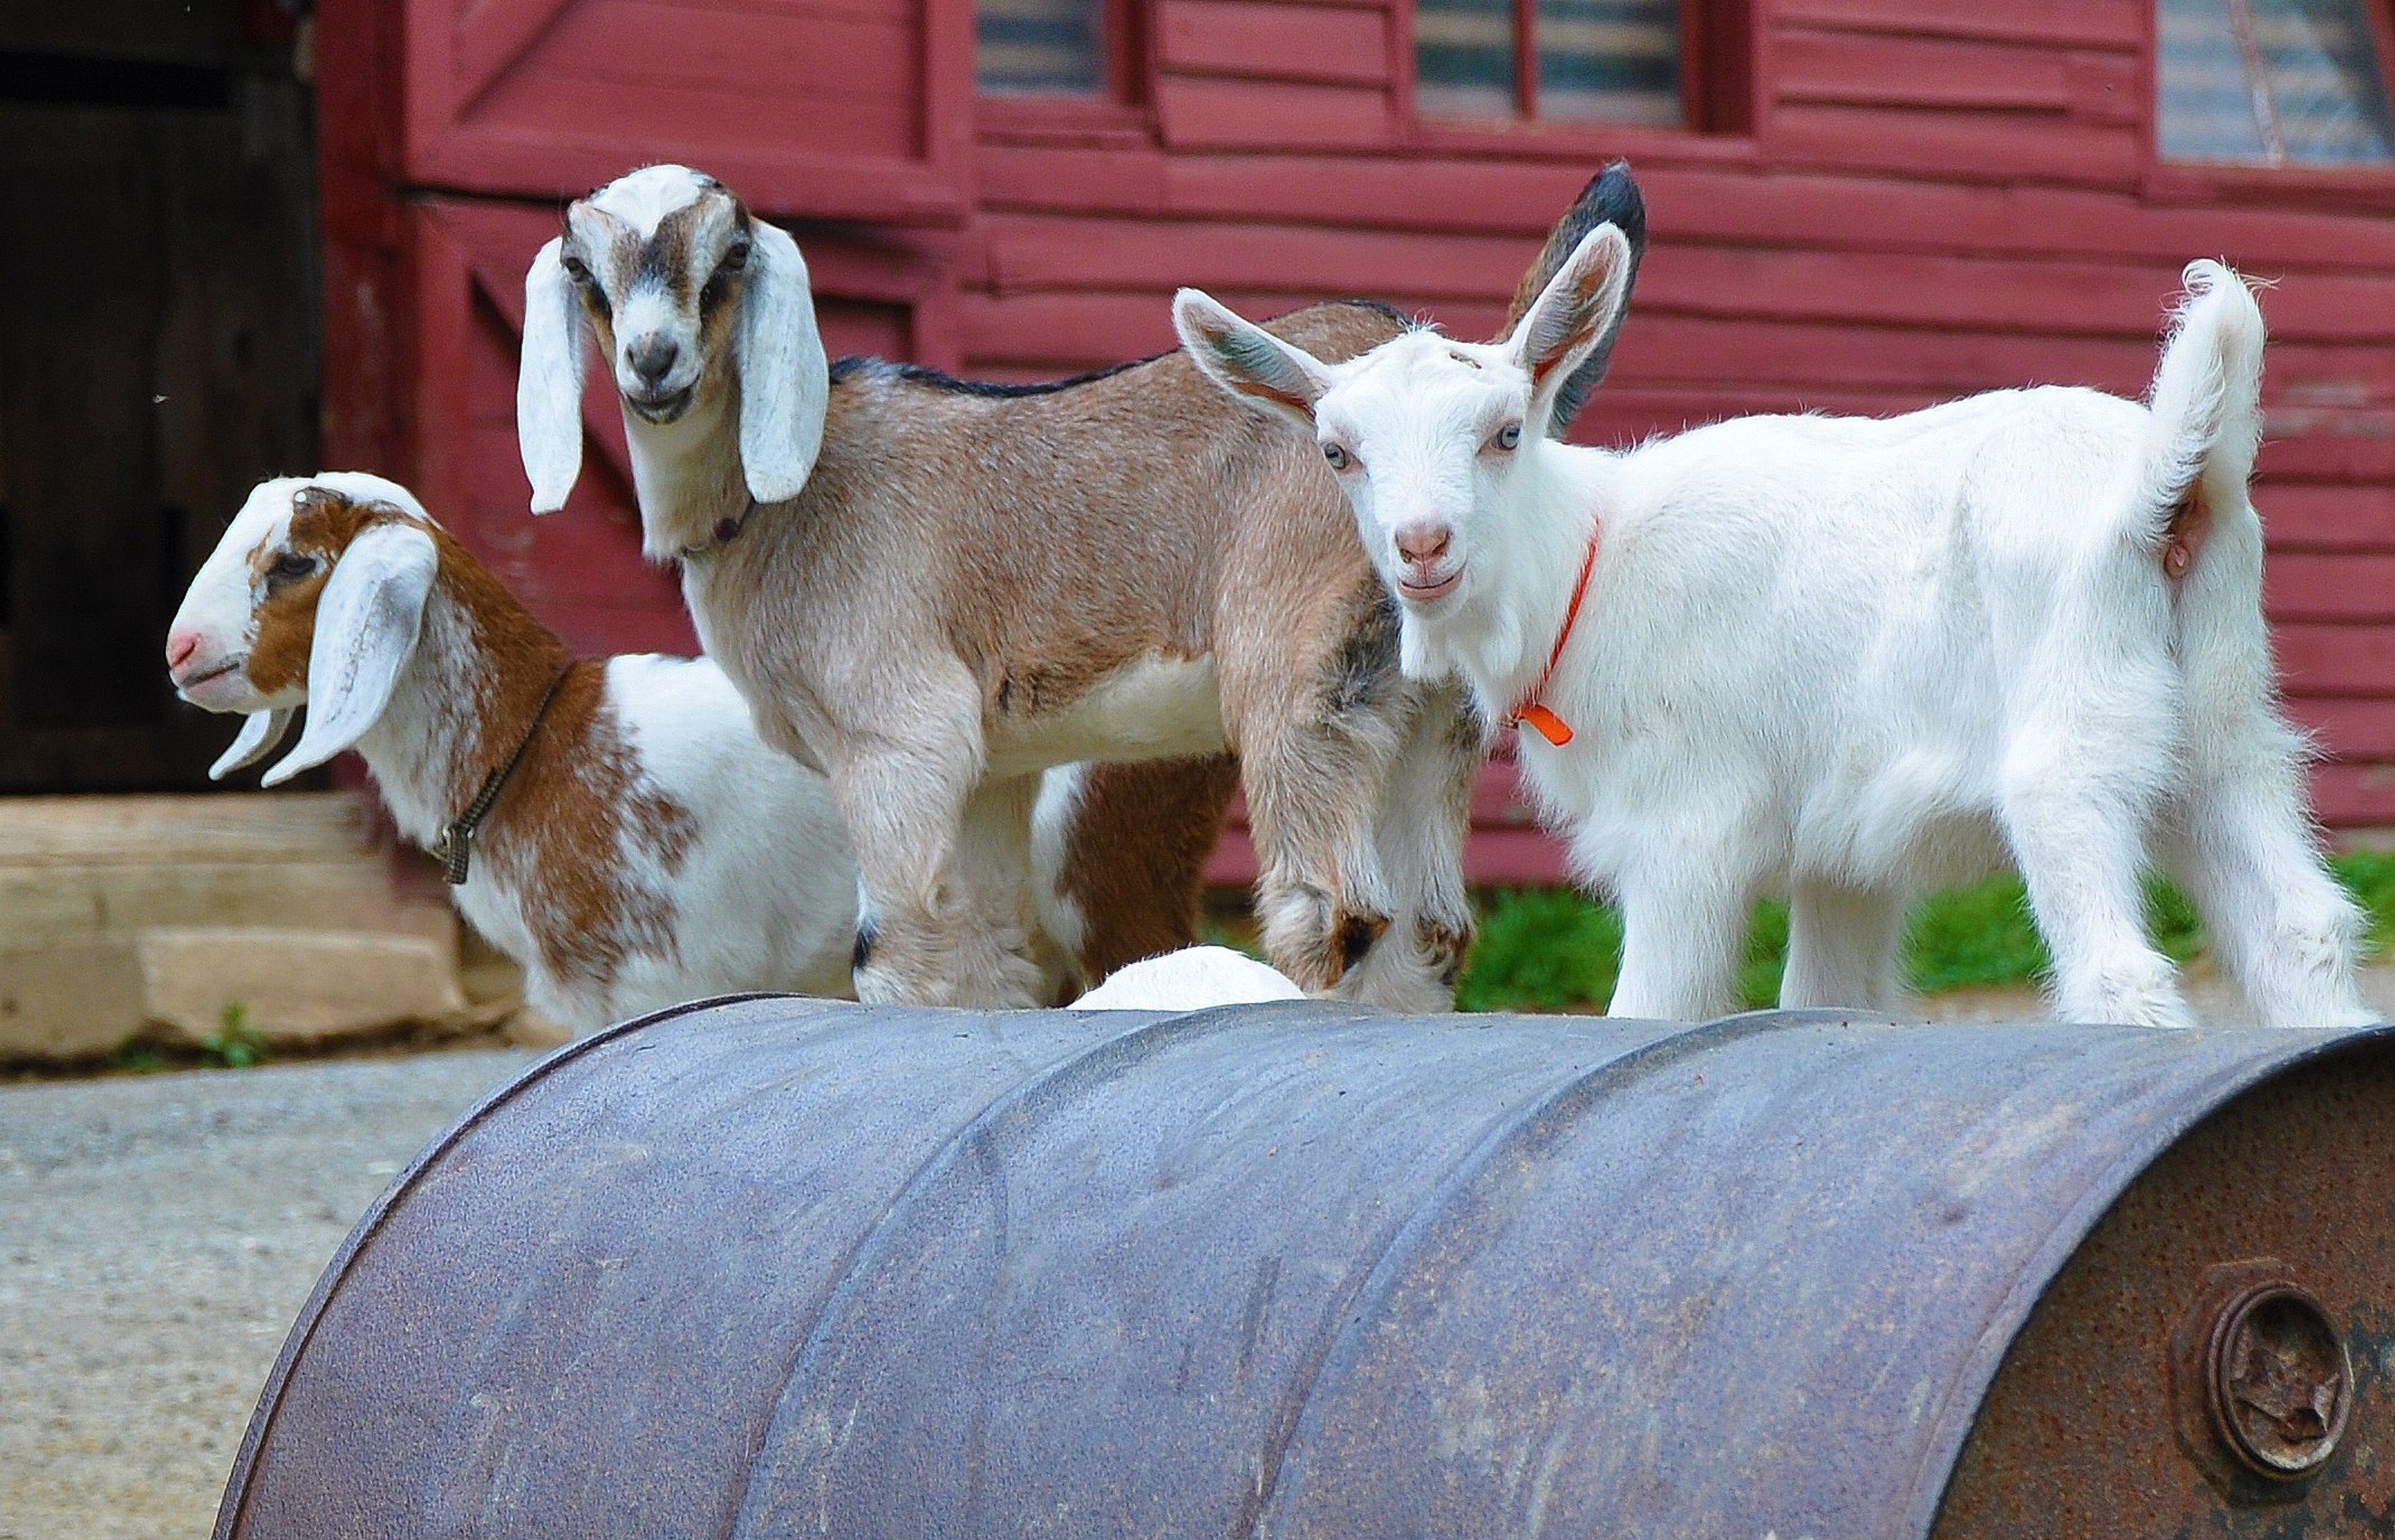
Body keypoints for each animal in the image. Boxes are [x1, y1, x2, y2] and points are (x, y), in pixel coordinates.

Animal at [520, 163, 1647, 1005]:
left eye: (733, 258)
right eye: (581, 267)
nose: (653, 362)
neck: (780, 502)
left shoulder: (897, 735)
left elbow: (893, 951)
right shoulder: (989, 764)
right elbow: (981, 953)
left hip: (1294, 666)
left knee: (1331, 911)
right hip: (1426, 715)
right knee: (1429, 931)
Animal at [1168, 235, 2366, 1030]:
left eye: (1506, 432)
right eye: (1338, 453)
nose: (1423, 546)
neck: (1587, 565)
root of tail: (2167, 481)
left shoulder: (1687, 821)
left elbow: (1650, 1011)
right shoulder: (1844, 848)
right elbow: (1826, 998)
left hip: (2071, 744)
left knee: (2121, 970)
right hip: (2223, 735)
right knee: (2299, 927)